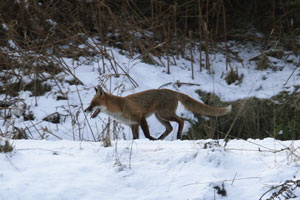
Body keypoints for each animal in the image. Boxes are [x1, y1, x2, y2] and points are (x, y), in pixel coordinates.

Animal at [84, 86, 232, 141]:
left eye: (93, 104)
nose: (85, 110)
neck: (119, 107)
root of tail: (173, 91)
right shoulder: (133, 124)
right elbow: (136, 138)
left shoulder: (140, 117)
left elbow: (146, 134)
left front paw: (150, 139)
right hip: (160, 117)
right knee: (170, 127)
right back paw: (160, 138)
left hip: (163, 114)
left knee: (181, 121)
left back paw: (178, 136)